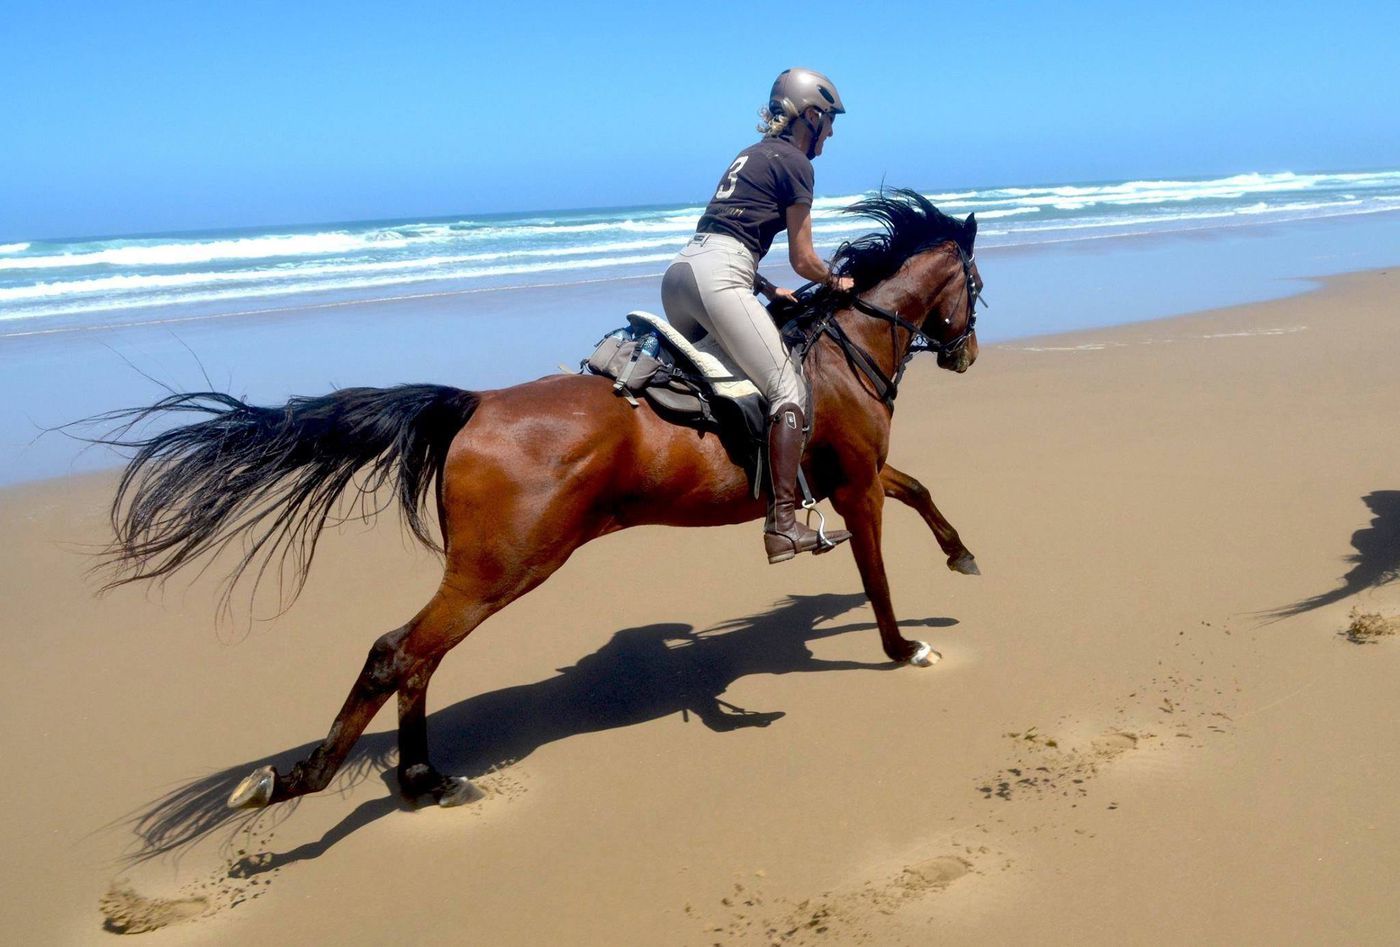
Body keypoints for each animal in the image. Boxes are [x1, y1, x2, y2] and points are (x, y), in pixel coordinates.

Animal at [95, 189, 985, 812]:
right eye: (976, 285)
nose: (968, 353)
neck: (845, 348)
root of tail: (473, 403)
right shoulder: (854, 483)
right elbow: (876, 572)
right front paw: (903, 646)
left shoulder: (857, 474)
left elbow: (922, 491)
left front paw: (962, 554)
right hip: (506, 565)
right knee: (397, 650)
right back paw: (308, 779)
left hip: (488, 570)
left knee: (416, 658)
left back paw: (422, 778)